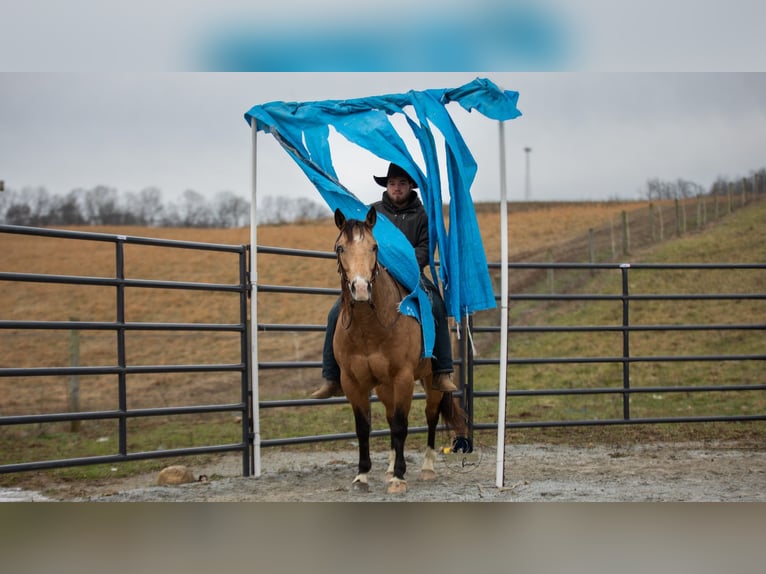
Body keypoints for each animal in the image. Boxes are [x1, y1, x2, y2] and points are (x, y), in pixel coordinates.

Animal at [332, 206, 468, 494]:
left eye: (374, 247)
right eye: (340, 248)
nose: (361, 288)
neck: (370, 328)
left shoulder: (403, 378)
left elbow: (401, 426)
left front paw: (399, 478)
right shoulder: (353, 382)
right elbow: (364, 427)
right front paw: (362, 476)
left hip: (431, 381)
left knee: (430, 416)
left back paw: (427, 468)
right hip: (385, 387)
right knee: (389, 415)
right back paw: (389, 467)